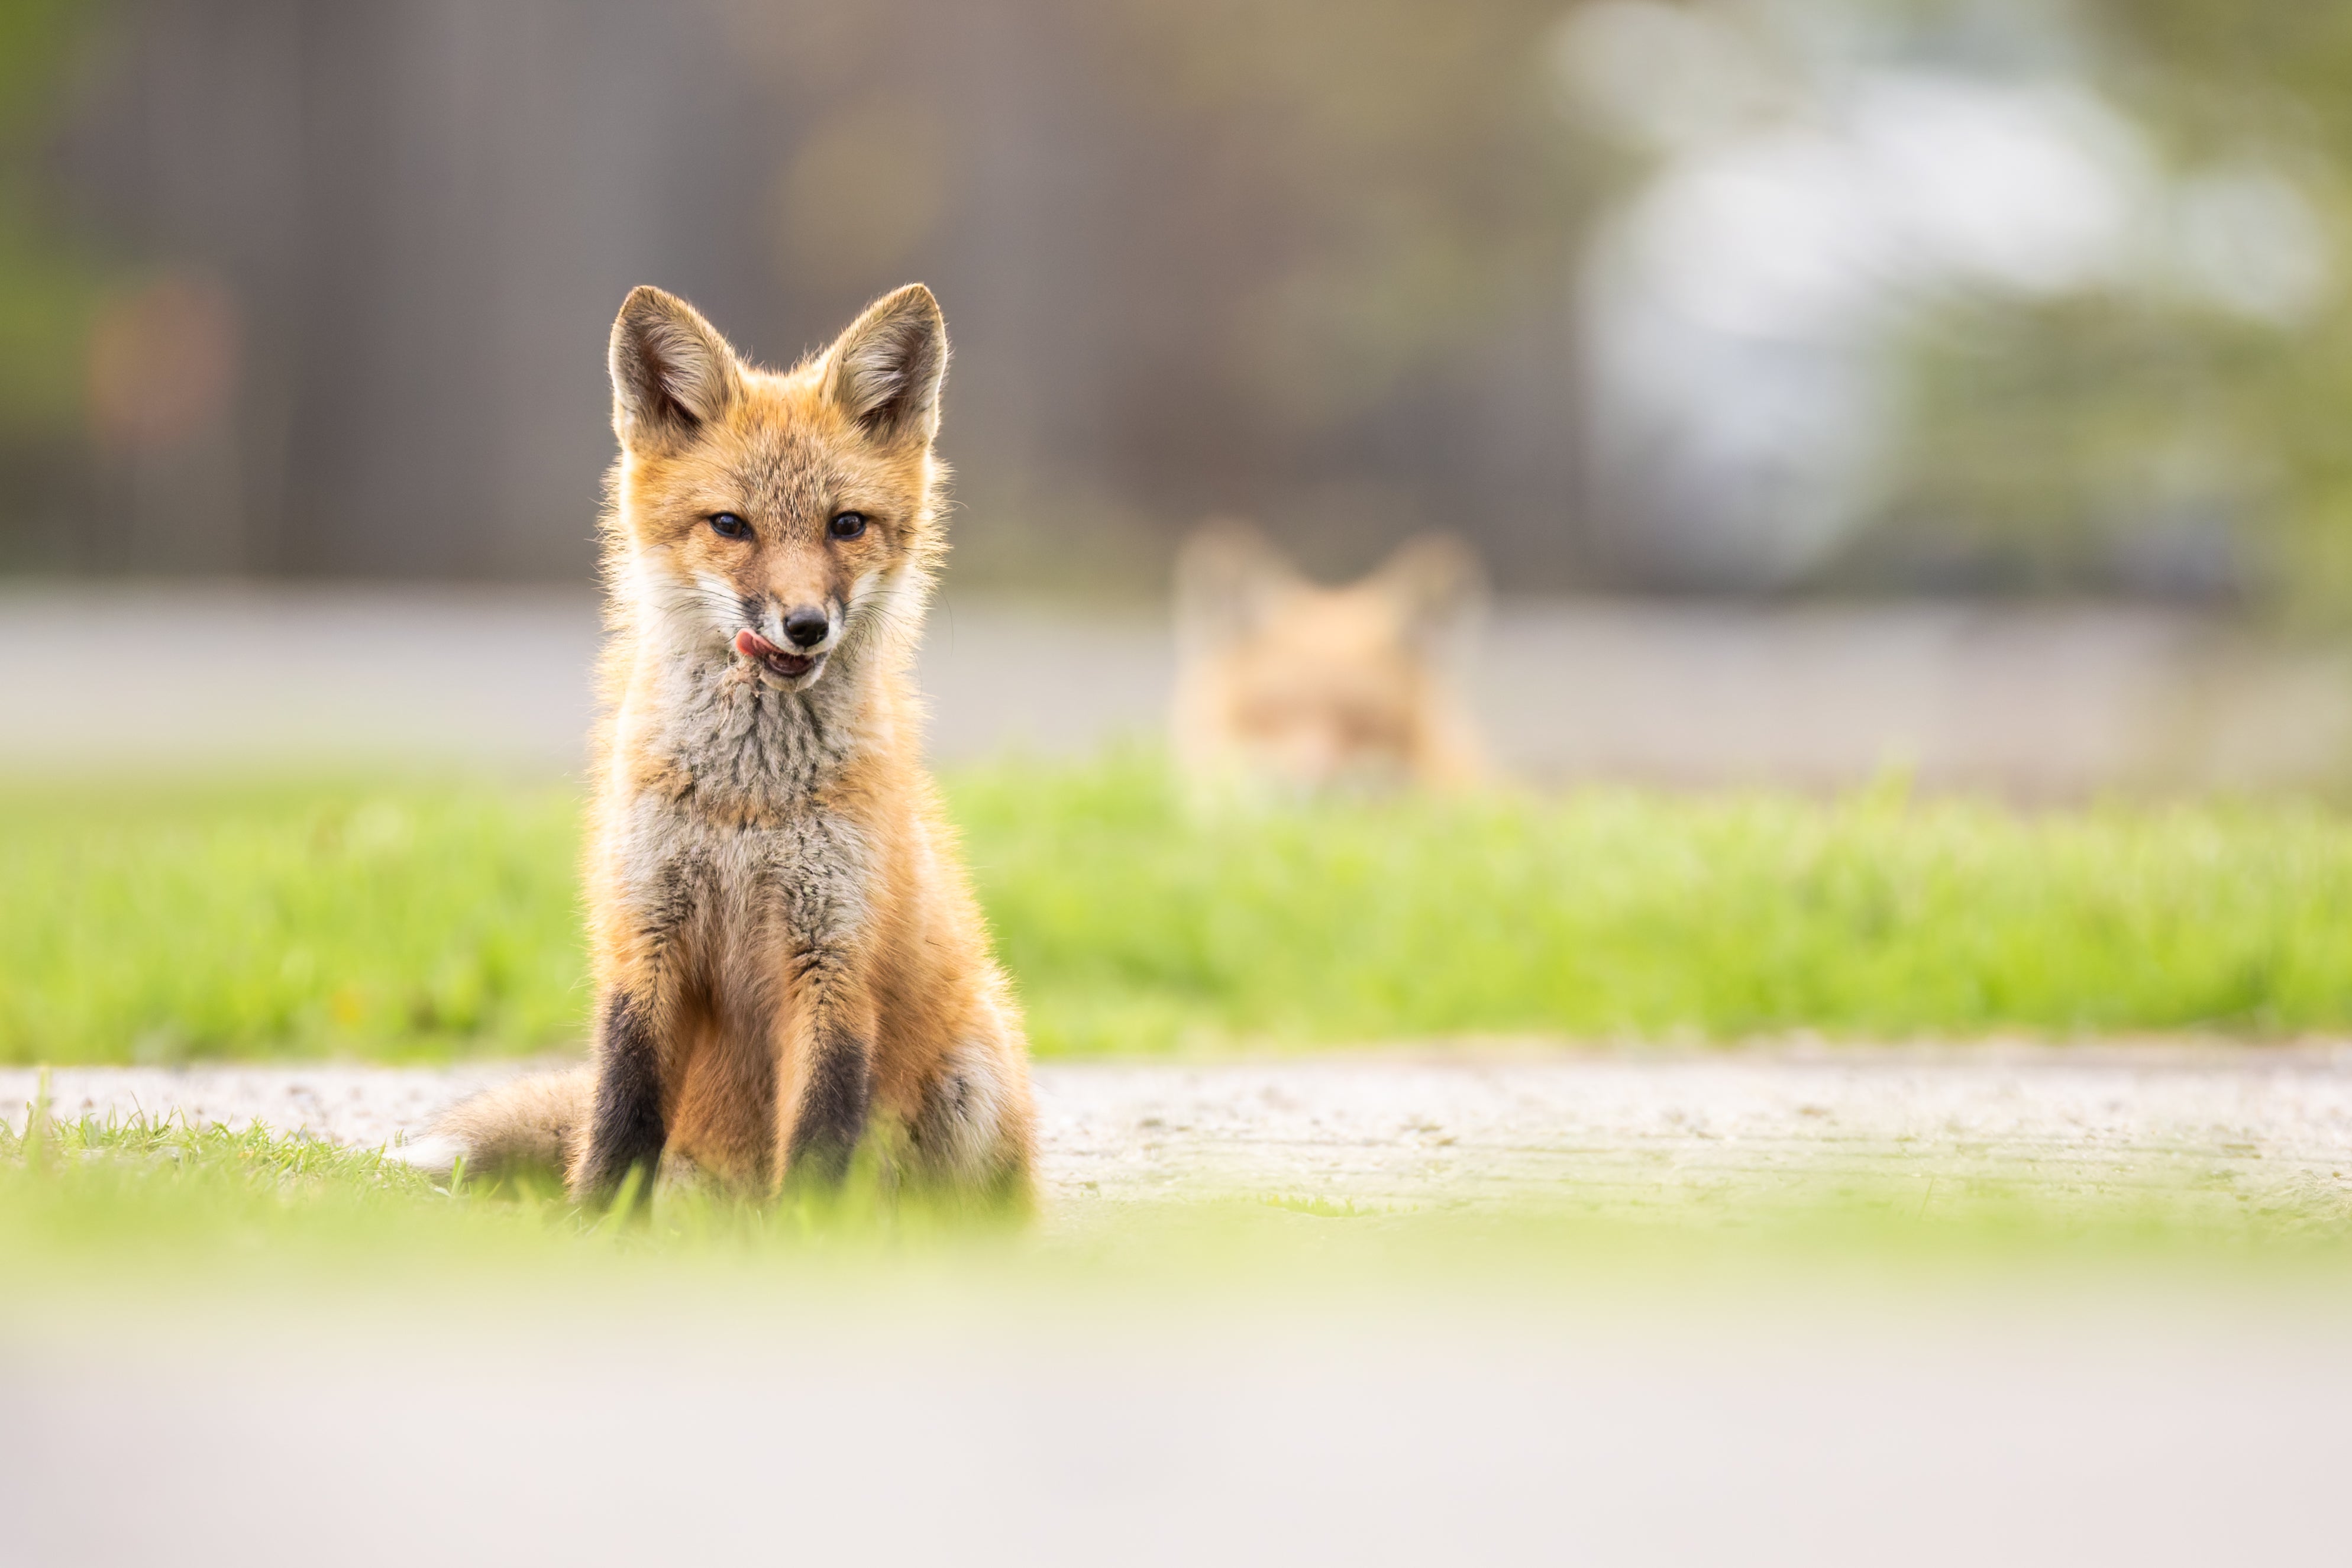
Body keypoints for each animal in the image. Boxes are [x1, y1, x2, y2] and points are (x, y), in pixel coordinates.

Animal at [415, 283, 1035, 1209]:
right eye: (731, 525)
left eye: (847, 524)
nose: (806, 624)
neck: (748, 802)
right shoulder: (645, 941)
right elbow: (618, 1118)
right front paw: (595, 1227)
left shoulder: (834, 962)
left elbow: (816, 1144)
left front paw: (805, 1235)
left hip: (975, 1069)